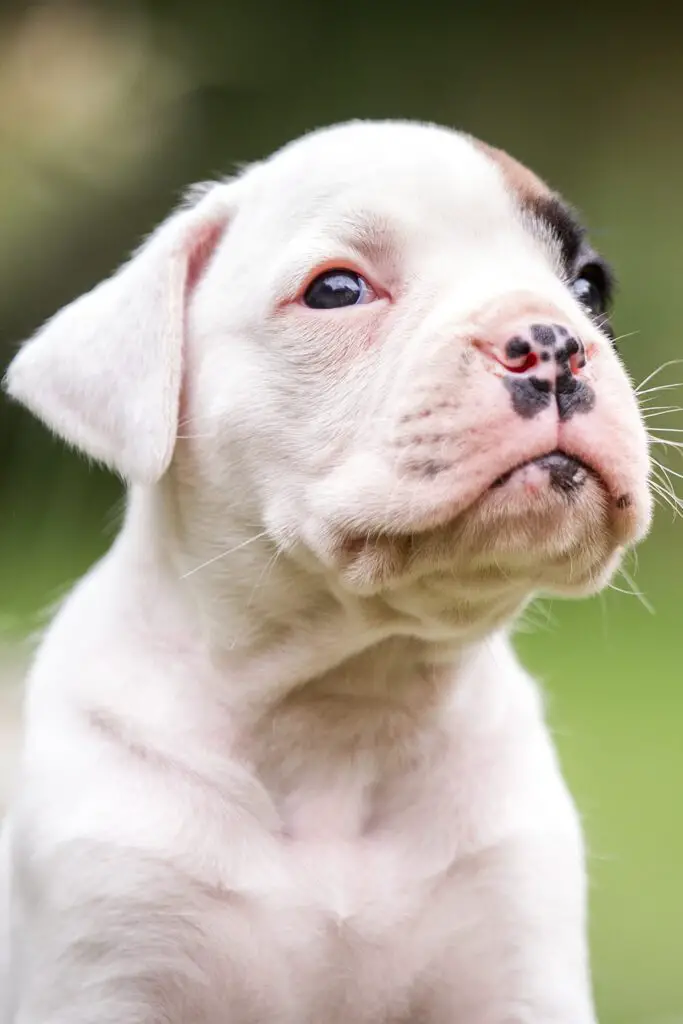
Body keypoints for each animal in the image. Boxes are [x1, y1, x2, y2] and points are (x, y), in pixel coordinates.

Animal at [0, 121, 651, 1024]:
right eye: (337, 290)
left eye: (588, 287)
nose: (552, 340)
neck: (344, 699)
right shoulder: (105, 963)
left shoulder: (518, 968)